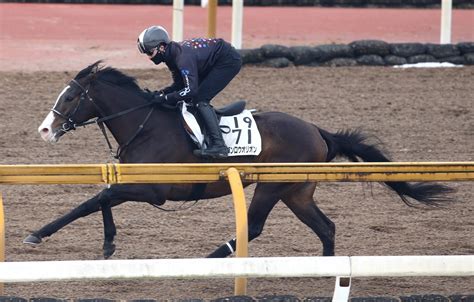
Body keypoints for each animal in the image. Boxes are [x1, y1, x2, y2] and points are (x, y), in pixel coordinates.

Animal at [25, 60, 456, 258]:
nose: (45, 129)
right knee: (326, 227)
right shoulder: (137, 185)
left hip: (272, 186)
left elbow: (94, 199)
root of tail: (317, 129)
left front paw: (43, 234)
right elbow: (98, 199)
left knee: (256, 225)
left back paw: (212, 258)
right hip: (297, 191)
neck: (144, 124)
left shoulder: (153, 189)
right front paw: (105, 243)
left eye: (70, 96)